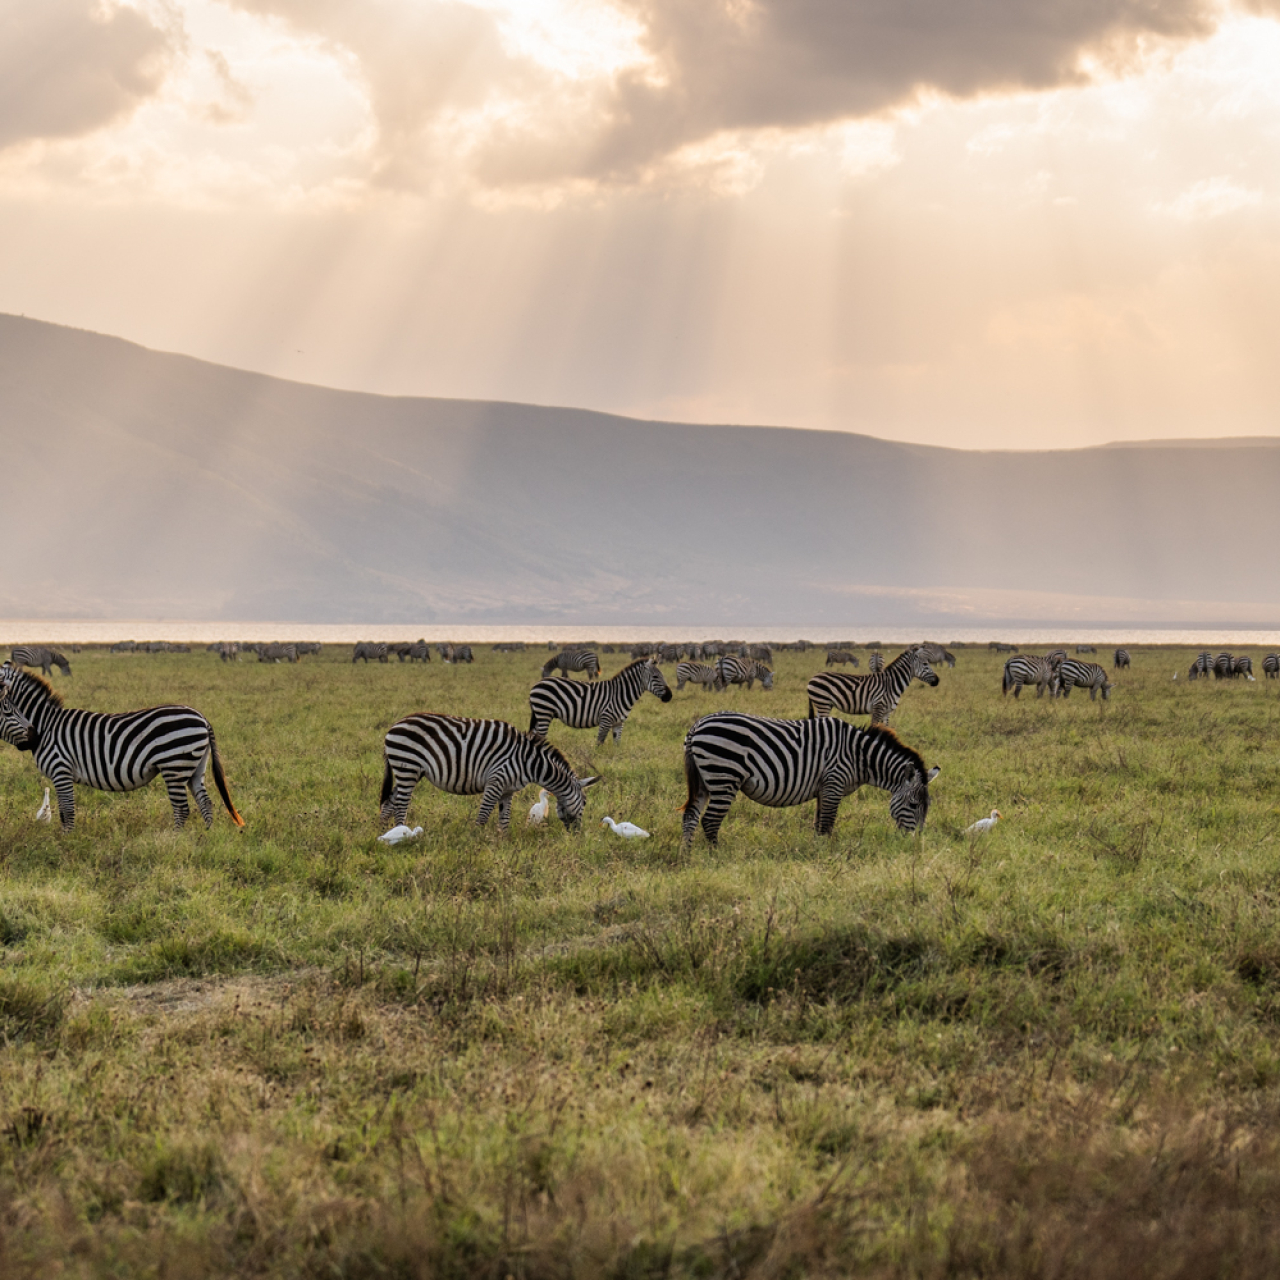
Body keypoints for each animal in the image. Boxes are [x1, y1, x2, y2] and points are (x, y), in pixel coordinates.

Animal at [0, 662, 244, 832]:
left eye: (9, 708)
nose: (32, 738)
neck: (47, 724)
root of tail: (202, 718)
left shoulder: (61, 770)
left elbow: (67, 812)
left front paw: (66, 841)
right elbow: (63, 812)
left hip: (174, 766)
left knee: (182, 809)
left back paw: (175, 841)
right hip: (195, 766)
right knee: (206, 802)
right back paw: (205, 839)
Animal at [380, 714, 600, 834]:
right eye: (585, 803)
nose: (577, 834)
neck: (529, 762)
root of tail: (394, 726)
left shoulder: (508, 790)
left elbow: (504, 819)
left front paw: (503, 843)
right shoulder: (496, 780)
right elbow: (484, 816)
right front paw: (476, 842)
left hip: (409, 771)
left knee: (389, 802)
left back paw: (385, 831)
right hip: (408, 766)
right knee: (401, 804)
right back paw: (402, 831)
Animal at [528, 658, 672, 745]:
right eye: (655, 677)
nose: (669, 696)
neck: (620, 694)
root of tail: (536, 684)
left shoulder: (619, 723)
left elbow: (617, 744)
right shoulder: (605, 719)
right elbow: (599, 742)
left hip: (540, 715)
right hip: (544, 712)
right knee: (540, 736)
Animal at [680, 712, 940, 847]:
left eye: (928, 807)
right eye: (913, 805)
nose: (915, 842)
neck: (859, 756)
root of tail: (697, 726)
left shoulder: (824, 788)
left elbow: (818, 824)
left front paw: (816, 851)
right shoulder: (834, 782)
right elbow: (827, 824)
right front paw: (825, 856)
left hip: (705, 781)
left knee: (690, 817)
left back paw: (688, 856)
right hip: (724, 776)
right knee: (710, 821)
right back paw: (716, 856)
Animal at [806, 647, 939, 724]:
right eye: (925, 664)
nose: (937, 681)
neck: (892, 683)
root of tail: (812, 678)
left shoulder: (887, 713)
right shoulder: (878, 709)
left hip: (823, 704)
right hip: (823, 703)